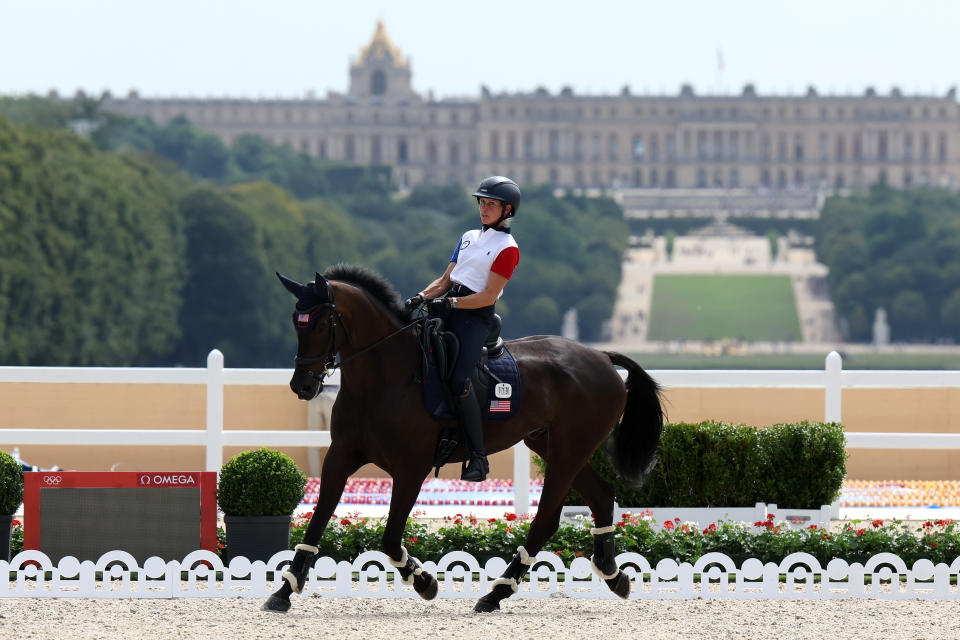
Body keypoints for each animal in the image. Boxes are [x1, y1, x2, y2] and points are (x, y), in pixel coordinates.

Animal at [266, 264, 664, 608]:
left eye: (321, 323)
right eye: (296, 322)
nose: (302, 386)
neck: (382, 378)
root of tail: (601, 356)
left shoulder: (411, 469)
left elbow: (391, 538)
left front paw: (425, 582)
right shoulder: (341, 456)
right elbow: (316, 523)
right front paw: (284, 591)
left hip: (570, 448)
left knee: (546, 519)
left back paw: (496, 593)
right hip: (552, 445)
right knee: (599, 497)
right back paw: (614, 576)